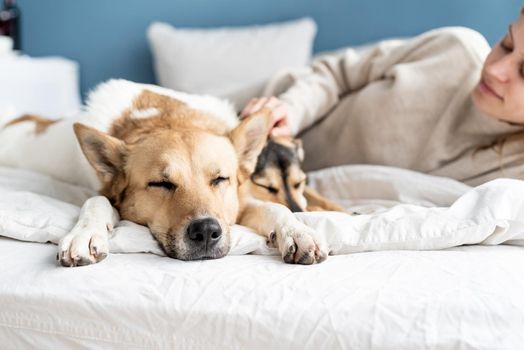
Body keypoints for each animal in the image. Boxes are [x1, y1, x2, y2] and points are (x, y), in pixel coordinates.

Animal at [1, 79, 332, 266]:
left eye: (219, 179)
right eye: (160, 183)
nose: (207, 232)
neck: (167, 119)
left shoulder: (240, 204)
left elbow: (276, 209)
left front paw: (299, 232)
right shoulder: (102, 193)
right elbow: (96, 202)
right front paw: (84, 234)